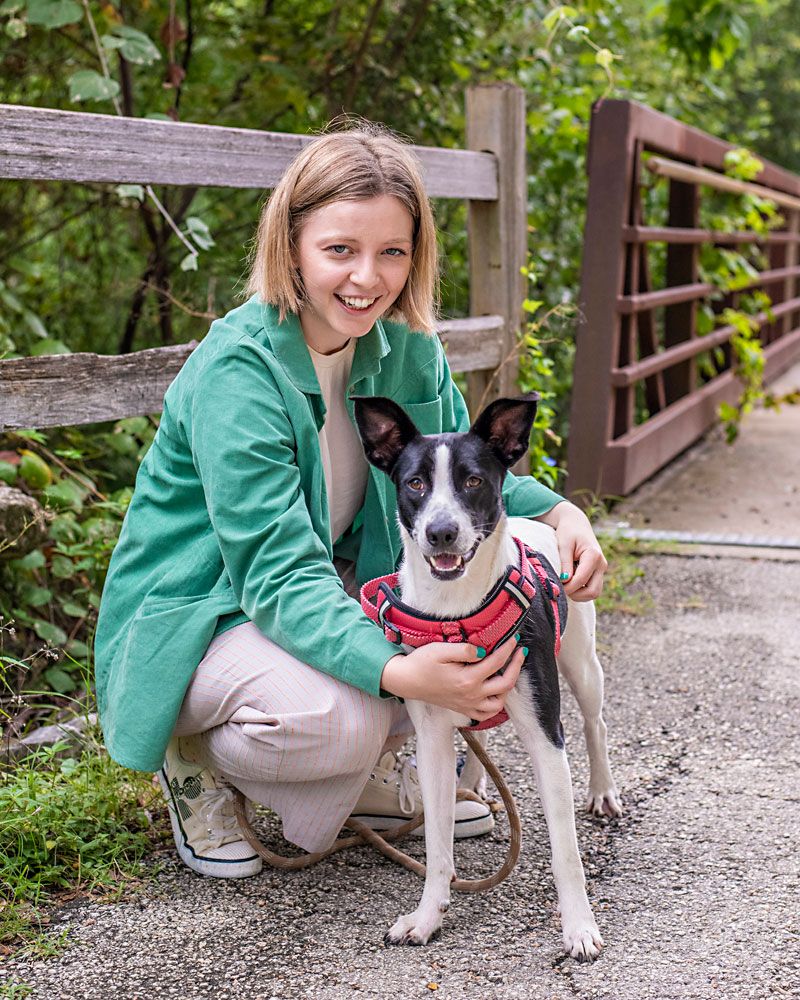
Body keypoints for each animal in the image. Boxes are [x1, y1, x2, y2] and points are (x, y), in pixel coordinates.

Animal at [354, 394, 620, 964]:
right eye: (415, 483)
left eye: (473, 480)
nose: (441, 532)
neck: (458, 614)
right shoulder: (432, 735)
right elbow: (437, 848)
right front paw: (427, 918)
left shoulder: (545, 735)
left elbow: (566, 851)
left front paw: (579, 927)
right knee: (482, 735)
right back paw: (474, 781)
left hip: (582, 665)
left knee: (596, 724)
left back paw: (603, 790)